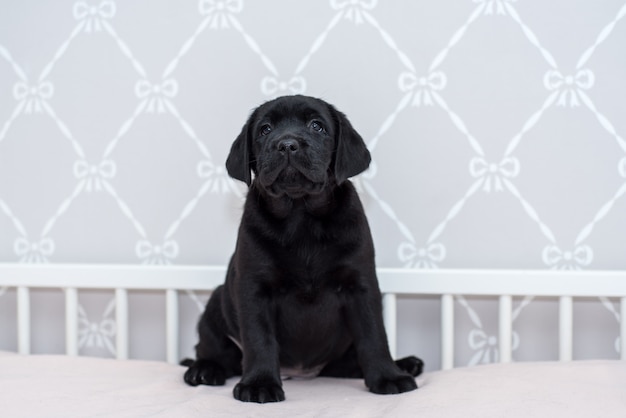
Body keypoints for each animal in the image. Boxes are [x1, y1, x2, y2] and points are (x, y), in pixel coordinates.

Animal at [183, 94, 422, 402]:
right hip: (215, 308)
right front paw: (259, 383)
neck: (301, 217)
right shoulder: (254, 288)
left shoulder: (361, 285)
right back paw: (203, 370)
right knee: (215, 352)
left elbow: (374, 335)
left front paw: (387, 376)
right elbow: (259, 339)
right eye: (265, 129)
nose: (287, 144)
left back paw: (406, 364)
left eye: (316, 126)